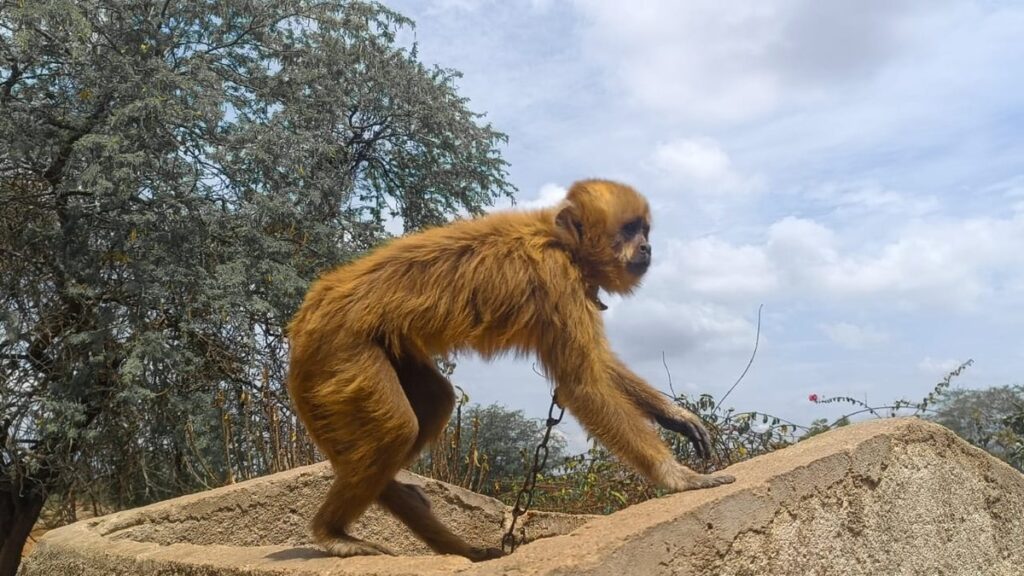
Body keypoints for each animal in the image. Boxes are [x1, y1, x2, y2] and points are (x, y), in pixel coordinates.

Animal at [285, 179, 735, 562]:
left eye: (644, 231)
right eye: (629, 231)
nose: (647, 247)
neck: (563, 245)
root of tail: (309, 311)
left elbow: (599, 367)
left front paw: (674, 416)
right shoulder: (557, 280)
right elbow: (583, 385)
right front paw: (676, 477)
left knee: (434, 401)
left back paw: (395, 500)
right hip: (338, 348)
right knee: (397, 425)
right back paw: (334, 532)